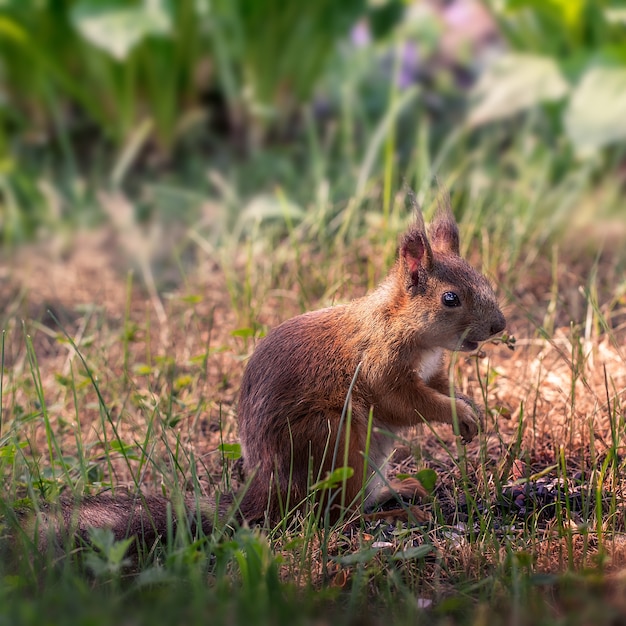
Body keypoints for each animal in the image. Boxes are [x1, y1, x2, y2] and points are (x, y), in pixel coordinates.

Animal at [23, 196, 502, 552]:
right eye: (450, 298)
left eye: (484, 280)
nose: (499, 327)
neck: (403, 326)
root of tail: (267, 491)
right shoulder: (379, 369)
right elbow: (406, 402)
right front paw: (459, 414)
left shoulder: (432, 369)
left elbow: (439, 387)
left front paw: (471, 409)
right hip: (333, 440)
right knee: (335, 517)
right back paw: (400, 514)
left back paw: (400, 490)